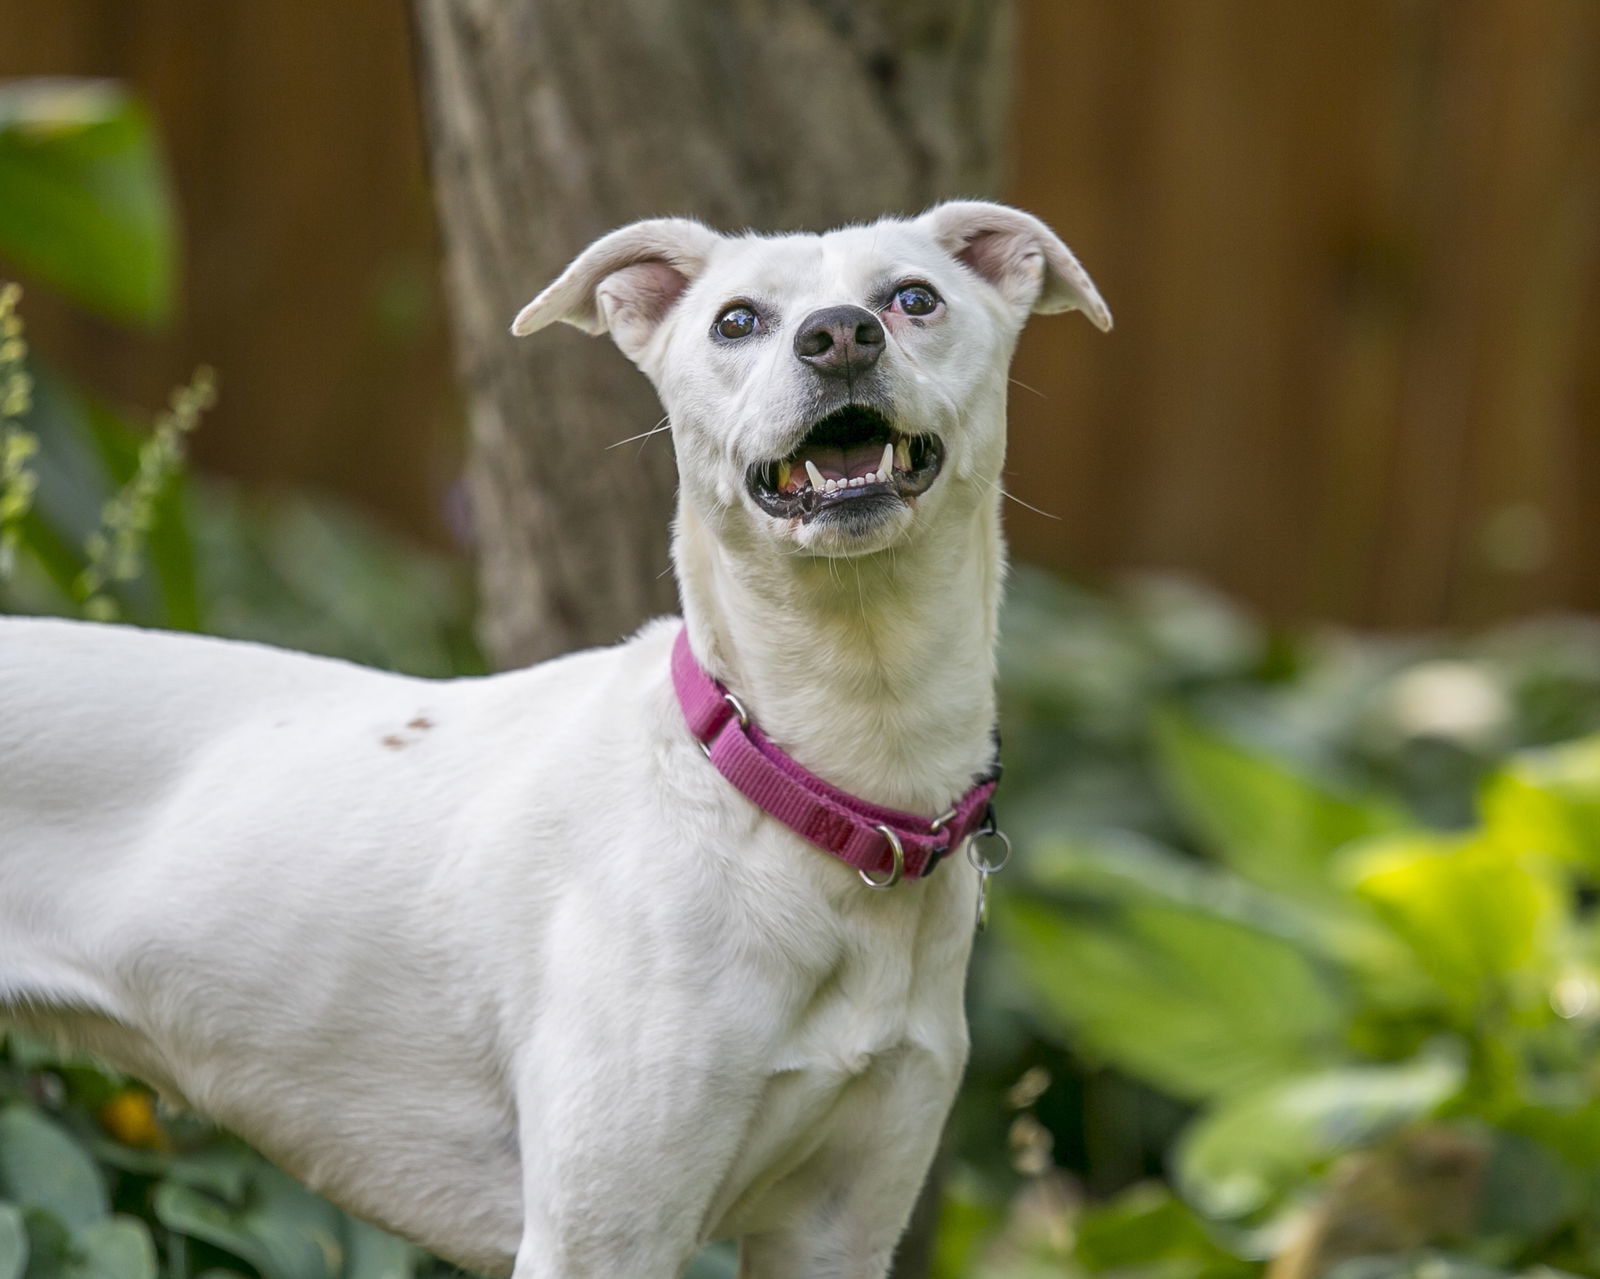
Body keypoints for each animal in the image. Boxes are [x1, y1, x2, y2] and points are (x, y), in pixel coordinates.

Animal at [0, 204, 1107, 1274]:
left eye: (914, 297)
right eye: (736, 320)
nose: (838, 336)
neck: (818, 786)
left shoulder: (837, 1229)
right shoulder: (600, 1235)